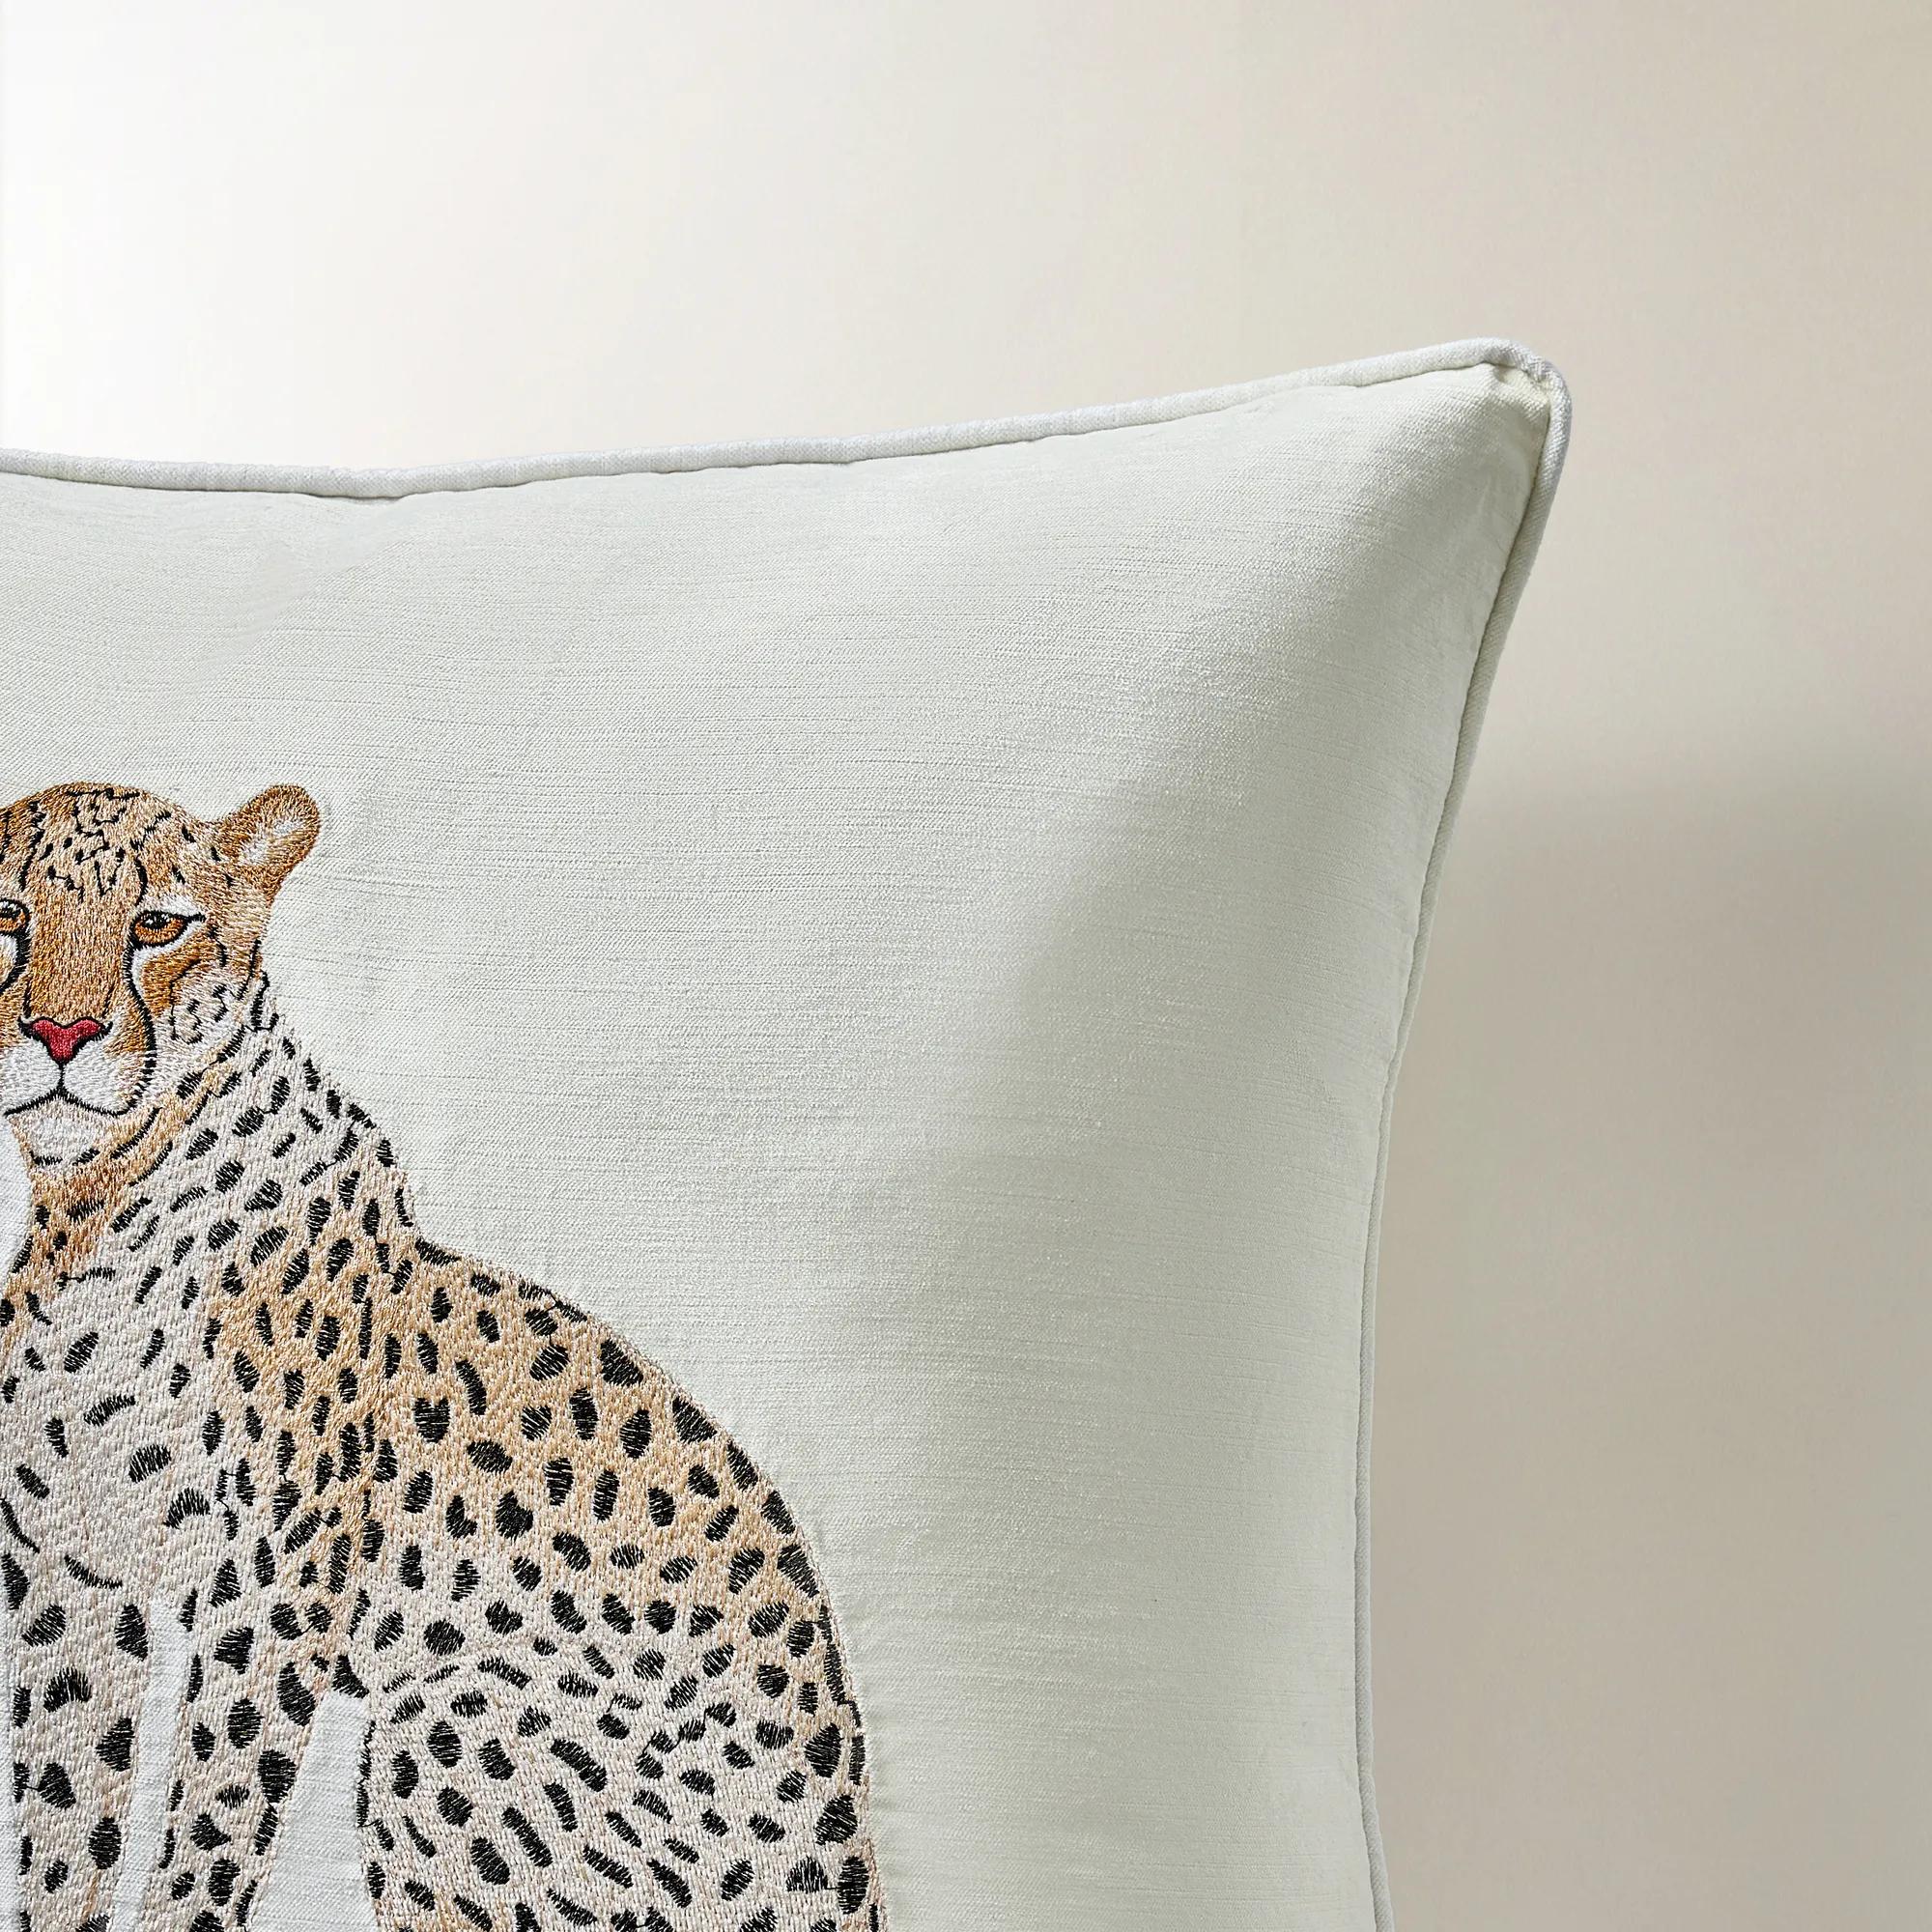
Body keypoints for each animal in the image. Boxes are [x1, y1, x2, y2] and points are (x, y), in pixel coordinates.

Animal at [0, 781, 883, 1932]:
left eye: (157, 925)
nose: (61, 1033)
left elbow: (212, 1827)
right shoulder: (68, 1575)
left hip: (444, 1719)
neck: (91, 1209)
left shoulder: (270, 1591)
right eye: (6, 917)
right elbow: (62, 1829)